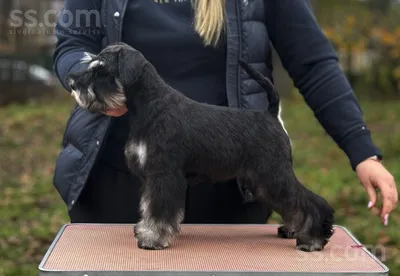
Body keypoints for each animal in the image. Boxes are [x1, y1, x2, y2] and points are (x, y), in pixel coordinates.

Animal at [67, 41, 332, 252]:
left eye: (101, 70)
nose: (73, 84)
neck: (150, 105)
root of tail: (271, 115)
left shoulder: (164, 174)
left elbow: (159, 210)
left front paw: (153, 239)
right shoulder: (151, 177)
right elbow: (148, 206)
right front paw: (145, 230)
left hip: (272, 174)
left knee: (309, 201)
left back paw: (313, 239)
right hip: (262, 180)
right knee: (293, 203)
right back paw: (293, 230)